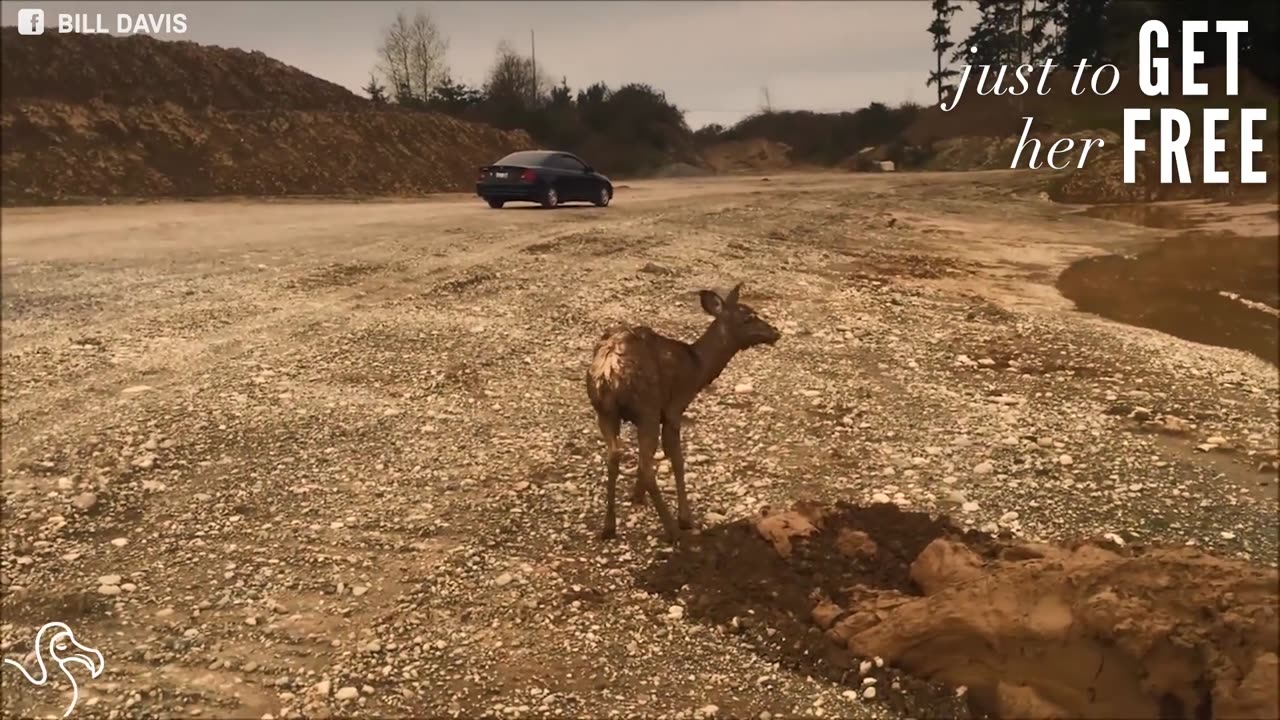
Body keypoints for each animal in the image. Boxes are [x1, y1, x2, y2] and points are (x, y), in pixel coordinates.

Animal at [586, 283, 778, 540]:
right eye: (748, 316)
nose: (775, 331)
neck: (698, 369)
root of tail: (608, 368)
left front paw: (637, 497)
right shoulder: (674, 407)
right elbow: (677, 458)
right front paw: (685, 519)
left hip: (605, 411)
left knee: (614, 454)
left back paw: (609, 527)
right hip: (646, 407)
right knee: (646, 464)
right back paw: (671, 529)